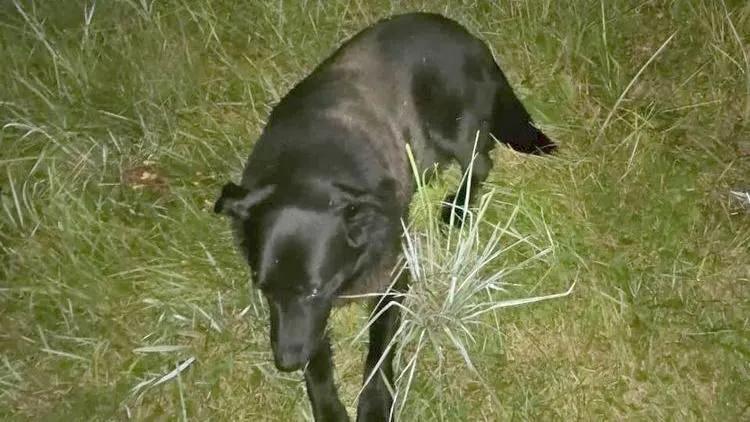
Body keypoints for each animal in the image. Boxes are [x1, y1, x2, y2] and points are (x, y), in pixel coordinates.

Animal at [214, 12, 556, 422]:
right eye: (262, 288)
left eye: (313, 289)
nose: (286, 362)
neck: (308, 167)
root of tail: (471, 39)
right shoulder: (308, 318)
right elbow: (318, 359)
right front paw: (328, 406)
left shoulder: (391, 279)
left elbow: (378, 352)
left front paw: (375, 405)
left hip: (449, 119)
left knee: (481, 159)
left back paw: (456, 207)